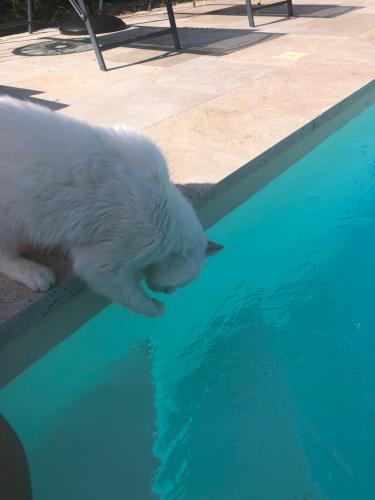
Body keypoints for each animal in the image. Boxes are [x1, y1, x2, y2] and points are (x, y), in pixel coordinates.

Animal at [0, 97, 223, 316]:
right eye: (173, 287)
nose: (169, 292)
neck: (165, 205)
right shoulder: (103, 264)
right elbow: (138, 302)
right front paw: (158, 307)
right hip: (10, 218)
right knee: (5, 256)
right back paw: (35, 273)